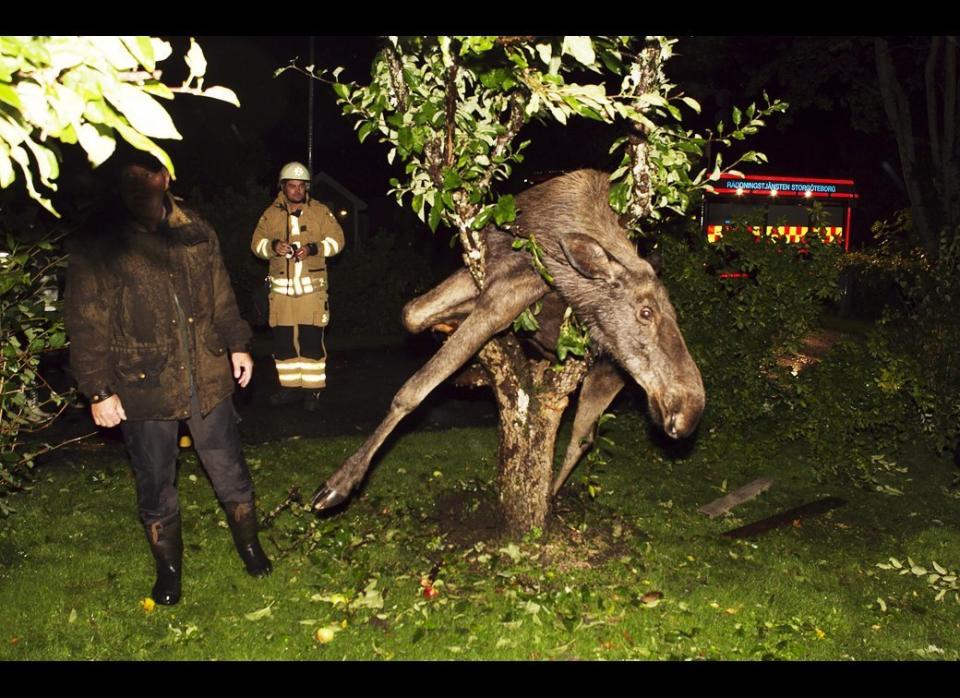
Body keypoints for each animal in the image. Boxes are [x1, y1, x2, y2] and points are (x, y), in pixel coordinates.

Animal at [314, 167, 704, 508]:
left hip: (608, 375)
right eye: (646, 312)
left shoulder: (516, 288)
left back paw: (548, 496)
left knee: (581, 438)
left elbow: (412, 391)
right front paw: (447, 329)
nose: (689, 411)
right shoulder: (487, 267)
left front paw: (340, 481)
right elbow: (412, 314)